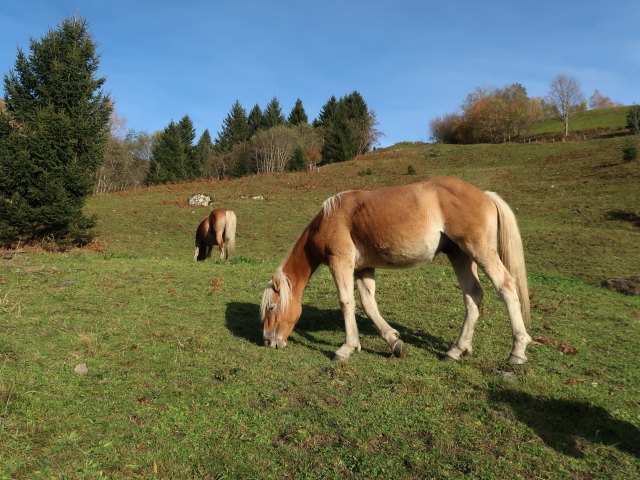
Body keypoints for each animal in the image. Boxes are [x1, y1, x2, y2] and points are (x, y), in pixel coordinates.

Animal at [262, 175, 536, 364]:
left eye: (272, 308)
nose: (268, 341)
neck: (330, 218)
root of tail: (485, 195)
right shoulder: (363, 269)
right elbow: (369, 305)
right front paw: (393, 341)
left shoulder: (341, 263)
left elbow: (346, 302)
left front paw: (346, 348)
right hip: (460, 256)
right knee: (473, 296)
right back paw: (456, 350)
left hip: (479, 251)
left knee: (506, 286)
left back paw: (517, 351)